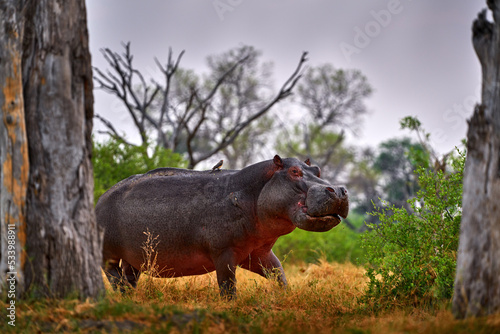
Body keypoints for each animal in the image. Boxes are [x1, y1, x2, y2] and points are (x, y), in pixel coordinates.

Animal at [96, 155, 348, 298]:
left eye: (317, 170)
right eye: (294, 172)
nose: (340, 189)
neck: (252, 192)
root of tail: (100, 198)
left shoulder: (258, 252)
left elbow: (279, 276)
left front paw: (286, 298)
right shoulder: (224, 254)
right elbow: (228, 288)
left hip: (134, 257)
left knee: (130, 279)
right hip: (108, 255)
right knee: (114, 278)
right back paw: (121, 296)